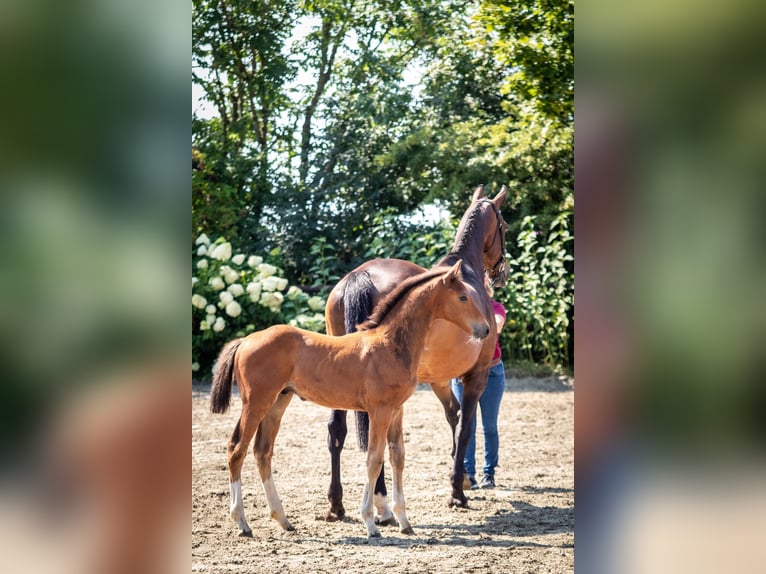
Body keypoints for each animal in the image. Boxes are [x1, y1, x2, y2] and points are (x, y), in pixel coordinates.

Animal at [209, 261, 490, 538]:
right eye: (463, 297)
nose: (485, 329)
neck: (390, 344)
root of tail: (246, 340)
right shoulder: (379, 411)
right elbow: (374, 460)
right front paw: (371, 523)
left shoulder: (396, 410)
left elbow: (398, 457)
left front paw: (404, 521)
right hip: (256, 402)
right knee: (237, 450)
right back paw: (242, 523)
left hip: (278, 402)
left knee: (262, 451)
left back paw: (283, 520)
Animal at [324, 185, 509, 521]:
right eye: (505, 226)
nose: (501, 272)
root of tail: (360, 276)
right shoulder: (475, 376)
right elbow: (465, 426)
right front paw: (457, 492)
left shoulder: (438, 379)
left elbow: (452, 415)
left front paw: (462, 476)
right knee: (376, 437)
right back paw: (382, 504)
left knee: (338, 430)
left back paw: (337, 503)